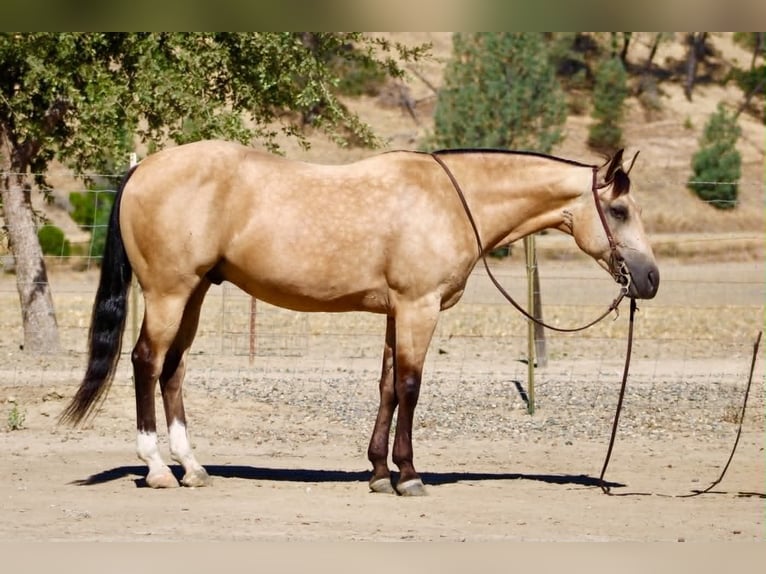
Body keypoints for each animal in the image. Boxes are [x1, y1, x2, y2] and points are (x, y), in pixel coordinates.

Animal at [60, 140, 659, 496]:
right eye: (620, 210)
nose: (650, 280)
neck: (450, 200)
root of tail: (143, 167)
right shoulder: (419, 307)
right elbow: (412, 386)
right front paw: (409, 476)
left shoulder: (398, 311)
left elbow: (388, 387)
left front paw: (377, 472)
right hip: (168, 292)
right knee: (145, 362)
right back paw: (159, 469)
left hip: (195, 293)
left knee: (174, 369)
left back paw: (193, 467)